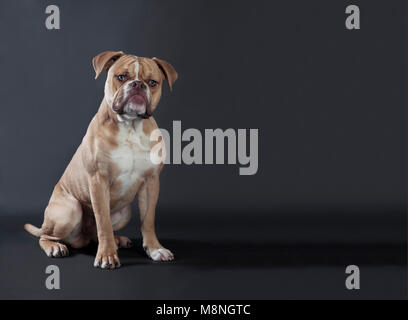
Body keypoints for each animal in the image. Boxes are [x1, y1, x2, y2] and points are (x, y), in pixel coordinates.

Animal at [23, 51, 177, 268]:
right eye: (121, 77)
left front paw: (155, 249)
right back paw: (55, 247)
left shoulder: (151, 182)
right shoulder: (98, 180)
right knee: (47, 236)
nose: (138, 85)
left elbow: (148, 221)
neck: (130, 126)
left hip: (124, 213)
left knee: (96, 234)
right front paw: (107, 256)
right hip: (69, 210)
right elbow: (103, 222)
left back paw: (118, 240)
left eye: (153, 82)